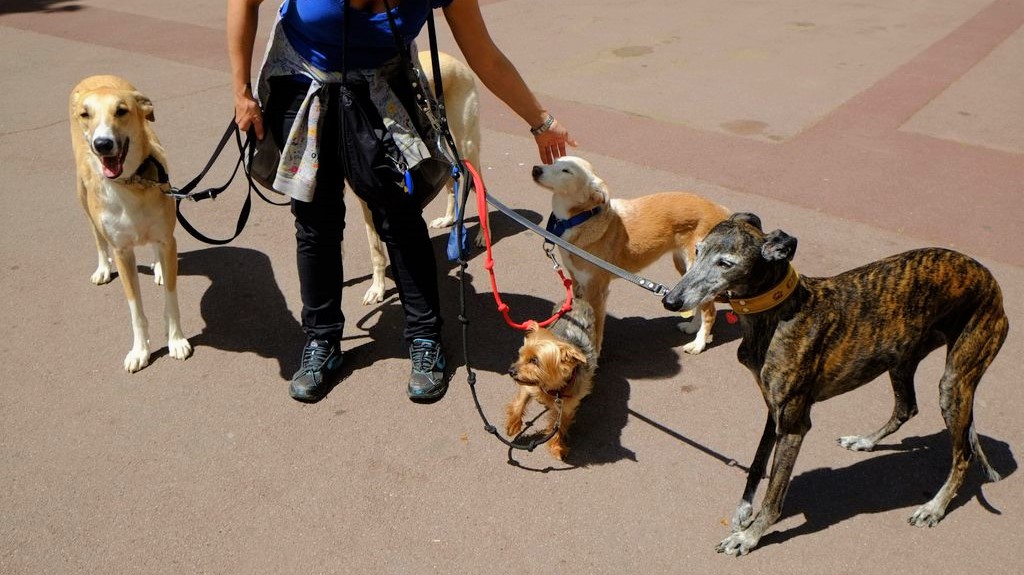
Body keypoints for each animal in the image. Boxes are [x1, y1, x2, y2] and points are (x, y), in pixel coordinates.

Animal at [71, 75, 193, 372]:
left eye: (121, 111)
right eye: (85, 114)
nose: (102, 144)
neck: (131, 184)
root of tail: (95, 75)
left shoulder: (167, 238)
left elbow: (171, 297)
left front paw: (176, 340)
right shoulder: (122, 252)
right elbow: (135, 310)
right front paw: (140, 351)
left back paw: (159, 268)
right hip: (83, 198)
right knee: (97, 237)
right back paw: (103, 268)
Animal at [360, 51, 483, 304]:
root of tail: (454, 60)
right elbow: (376, 251)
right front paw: (377, 288)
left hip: (465, 146)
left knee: (480, 186)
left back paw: (483, 237)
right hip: (441, 145)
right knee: (452, 180)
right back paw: (448, 219)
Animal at [532, 156, 733, 354]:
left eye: (567, 171)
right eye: (554, 161)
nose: (536, 169)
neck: (578, 220)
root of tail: (722, 209)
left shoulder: (596, 290)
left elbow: (595, 330)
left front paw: (593, 355)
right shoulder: (578, 282)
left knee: (710, 311)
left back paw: (698, 344)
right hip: (685, 268)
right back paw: (692, 327)